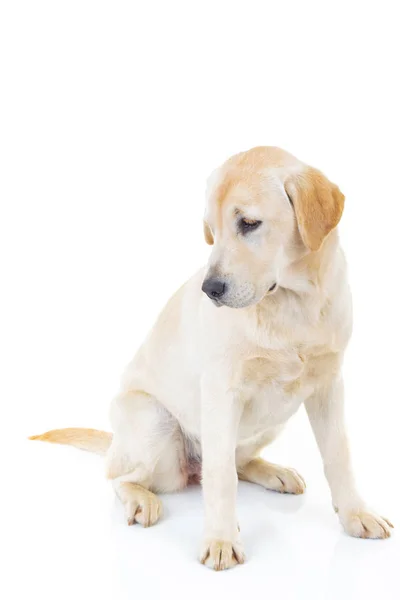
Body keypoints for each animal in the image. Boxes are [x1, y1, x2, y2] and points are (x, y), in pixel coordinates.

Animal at [32, 148, 394, 568]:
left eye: (249, 224)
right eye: (212, 231)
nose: (210, 289)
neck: (293, 306)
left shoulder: (328, 386)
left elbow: (339, 457)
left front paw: (356, 514)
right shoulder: (222, 393)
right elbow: (221, 477)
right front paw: (221, 538)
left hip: (273, 419)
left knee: (238, 461)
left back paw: (273, 472)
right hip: (156, 424)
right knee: (122, 478)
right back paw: (141, 498)